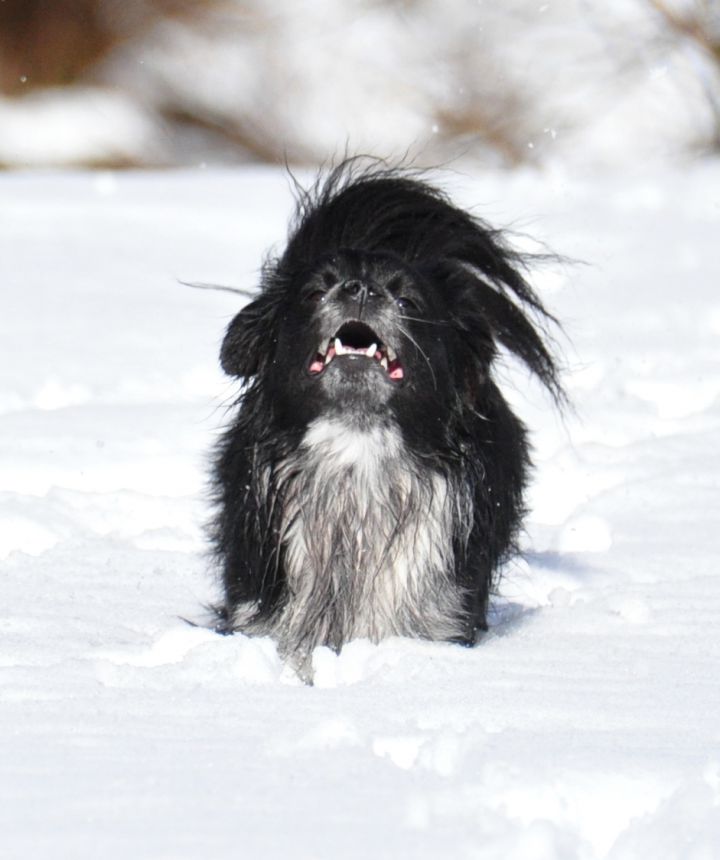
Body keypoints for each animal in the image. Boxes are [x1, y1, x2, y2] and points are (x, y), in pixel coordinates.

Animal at [208, 160, 564, 672]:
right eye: (315, 291)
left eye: (408, 301)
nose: (360, 287)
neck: (356, 455)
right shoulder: (260, 610)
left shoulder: (436, 615)